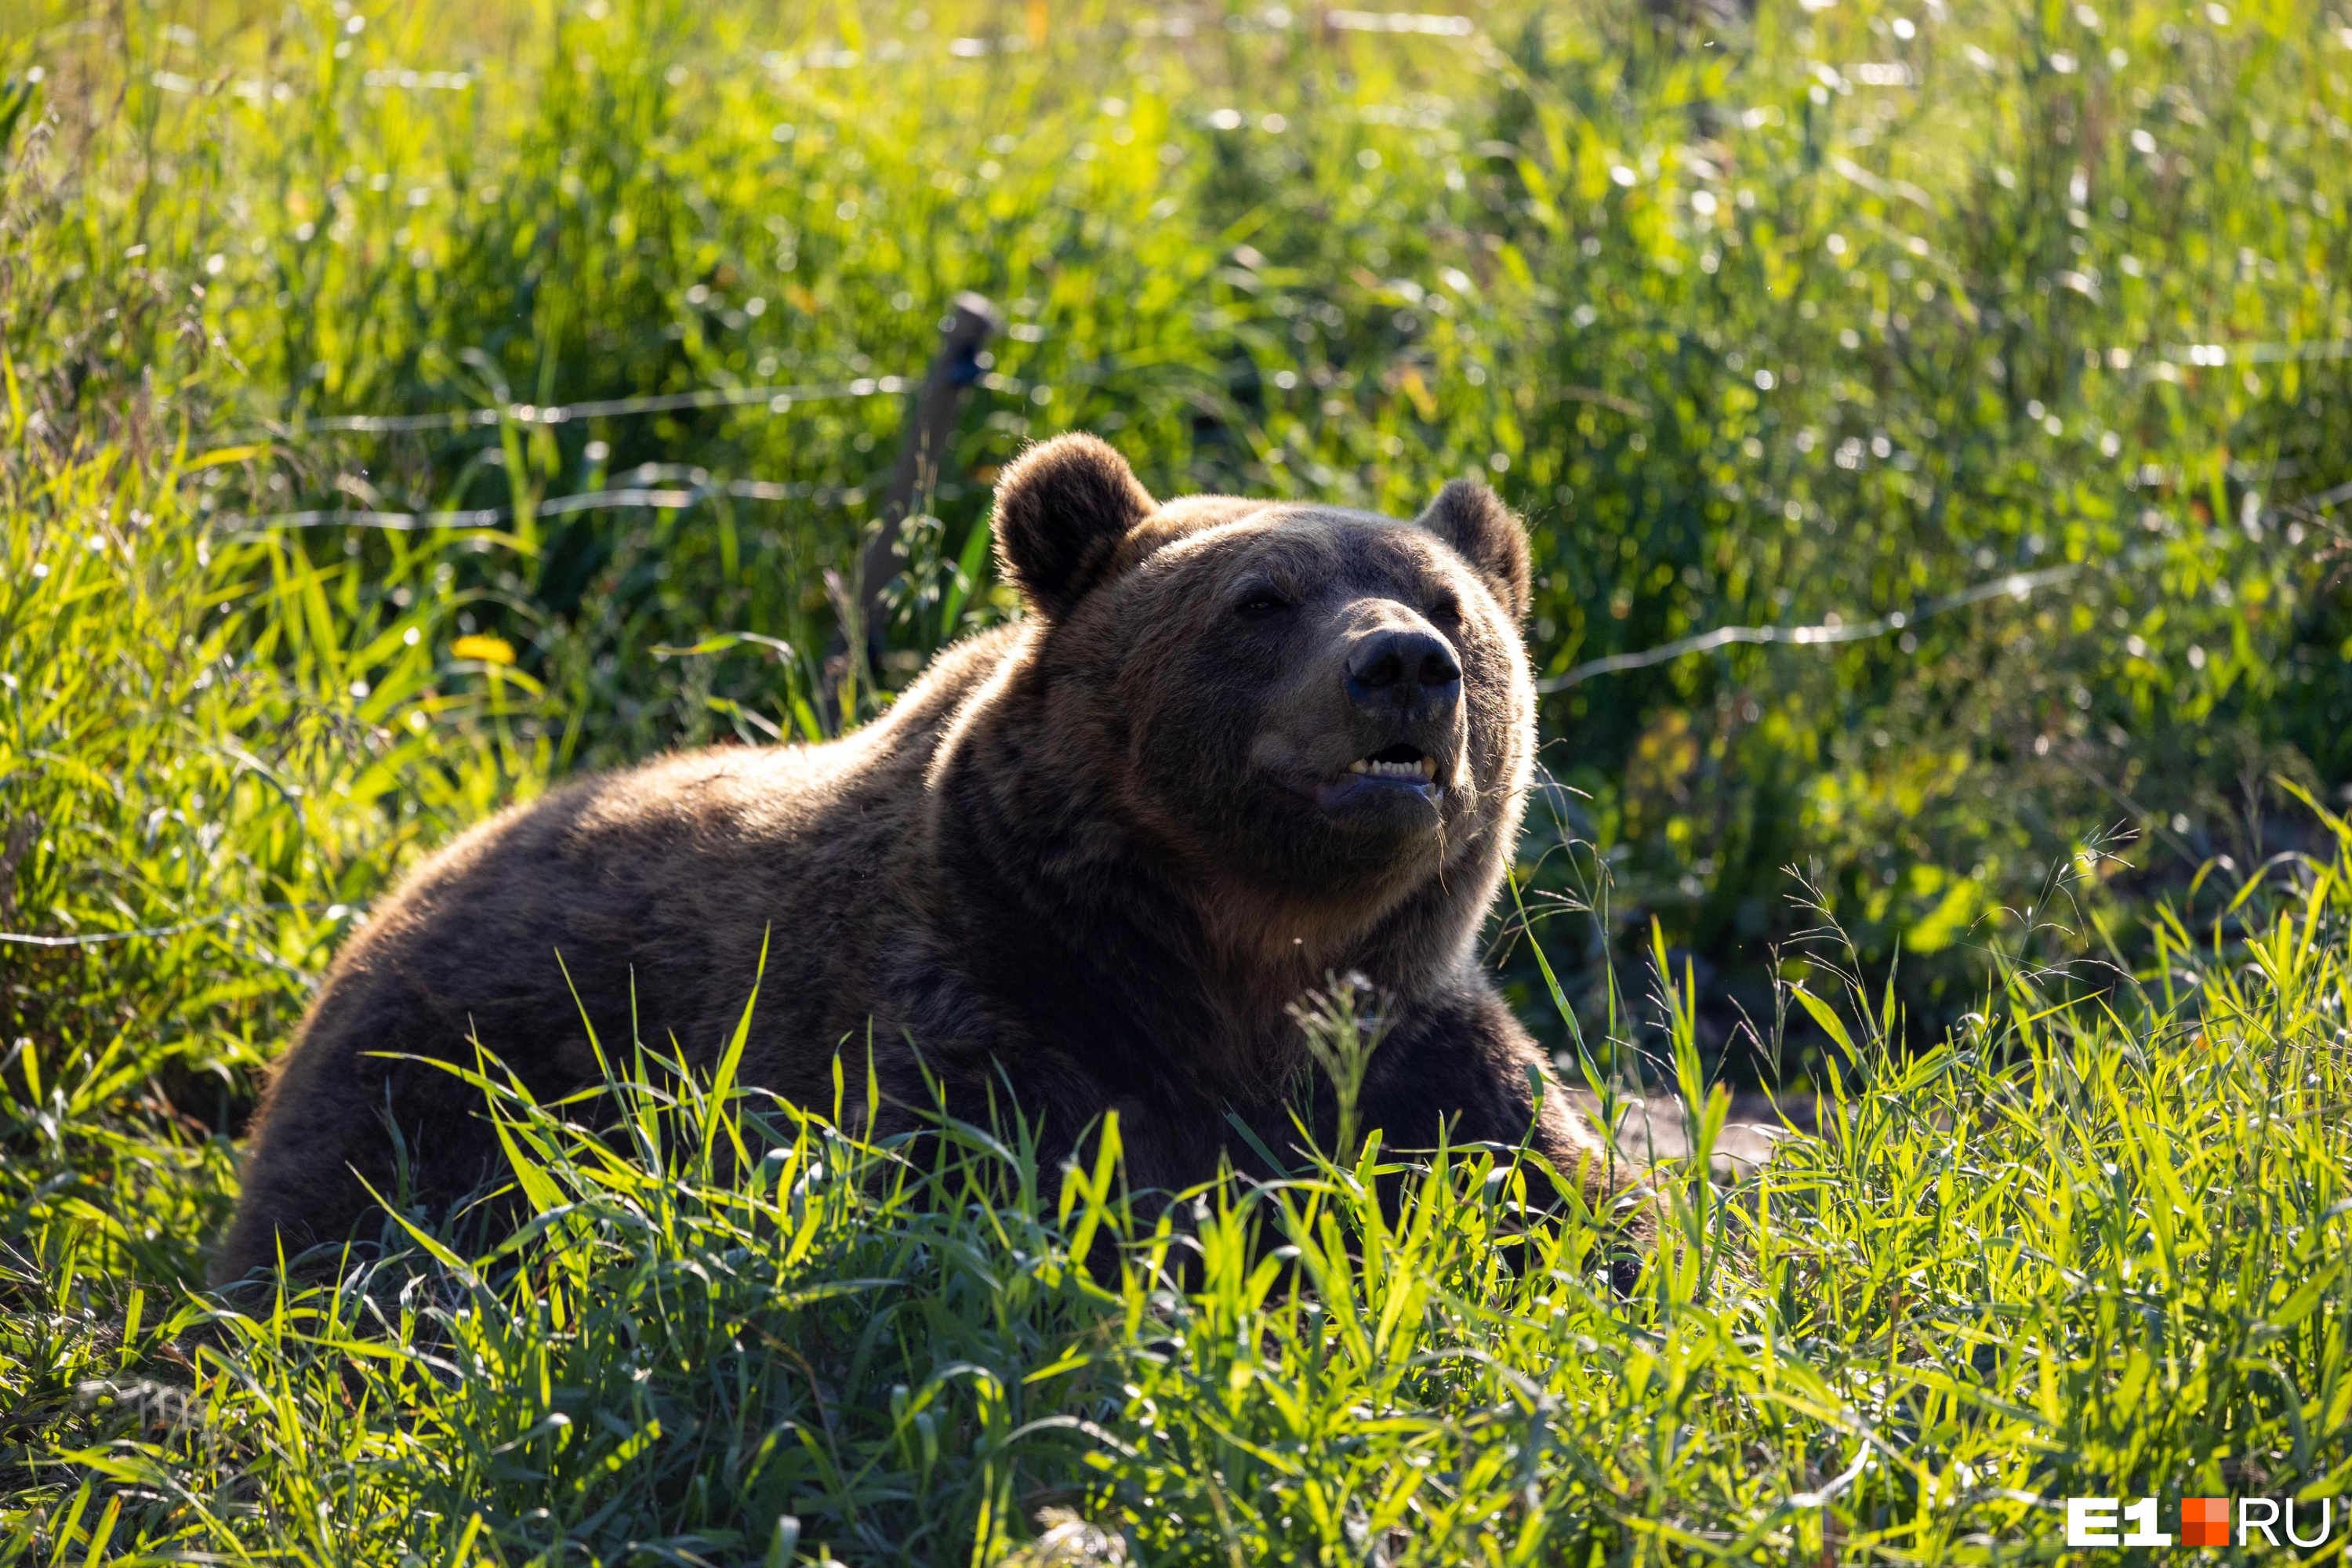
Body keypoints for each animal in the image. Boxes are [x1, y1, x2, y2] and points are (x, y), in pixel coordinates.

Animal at [216, 432, 1637, 1288]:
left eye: (1455, 607)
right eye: (1261, 600)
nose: (1403, 666)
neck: (1232, 964)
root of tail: (399, 892)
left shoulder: (1415, 1051)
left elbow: (1572, 1213)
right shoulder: (986, 1013)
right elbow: (997, 1203)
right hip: (444, 1065)